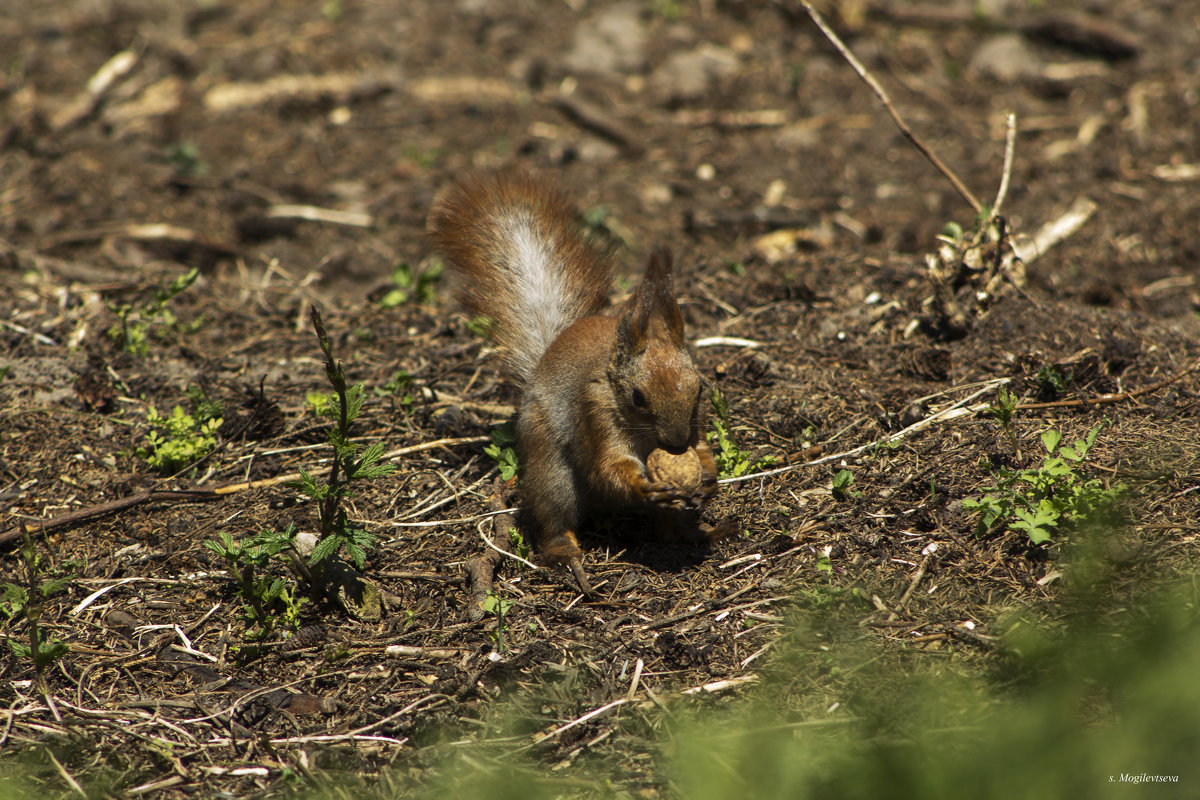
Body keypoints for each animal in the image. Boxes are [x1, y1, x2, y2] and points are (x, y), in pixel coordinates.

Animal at [427, 172, 715, 585]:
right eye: (638, 397)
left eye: (699, 388)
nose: (677, 445)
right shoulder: (594, 415)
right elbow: (607, 468)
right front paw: (643, 484)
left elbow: (703, 447)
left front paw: (708, 475)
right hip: (552, 470)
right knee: (555, 516)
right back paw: (567, 555)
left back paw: (689, 532)